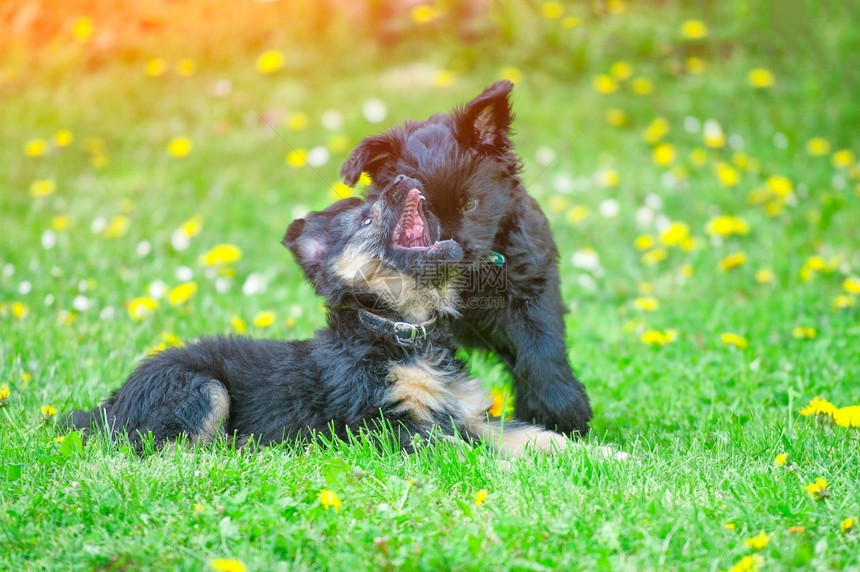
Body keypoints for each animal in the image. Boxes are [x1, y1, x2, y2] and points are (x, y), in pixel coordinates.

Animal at [65, 177, 564, 458]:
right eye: (366, 221)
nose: (403, 177)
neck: (401, 330)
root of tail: (106, 409)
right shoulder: (385, 426)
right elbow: (465, 453)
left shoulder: (464, 413)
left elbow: (526, 435)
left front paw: (581, 454)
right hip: (199, 387)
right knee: (169, 454)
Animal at [340, 80, 596, 436]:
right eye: (419, 211)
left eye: (471, 205)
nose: (454, 250)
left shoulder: (531, 289)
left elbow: (541, 348)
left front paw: (561, 409)